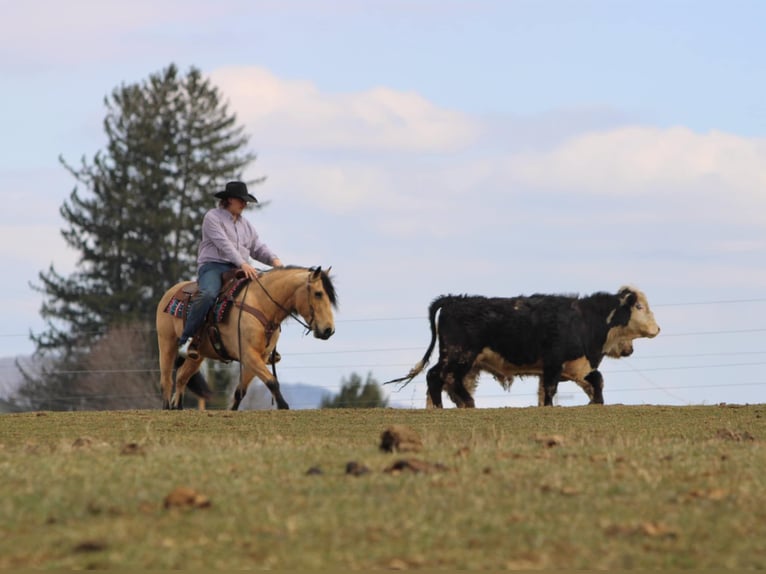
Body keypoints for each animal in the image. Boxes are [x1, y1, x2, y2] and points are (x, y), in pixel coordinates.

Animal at [156, 265, 338, 410]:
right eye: (318, 293)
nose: (329, 330)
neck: (261, 304)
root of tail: (170, 292)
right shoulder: (249, 355)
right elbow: (272, 381)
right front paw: (284, 407)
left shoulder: (259, 357)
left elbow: (240, 391)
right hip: (167, 343)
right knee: (166, 381)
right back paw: (166, 408)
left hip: (198, 355)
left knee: (181, 377)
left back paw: (178, 408)